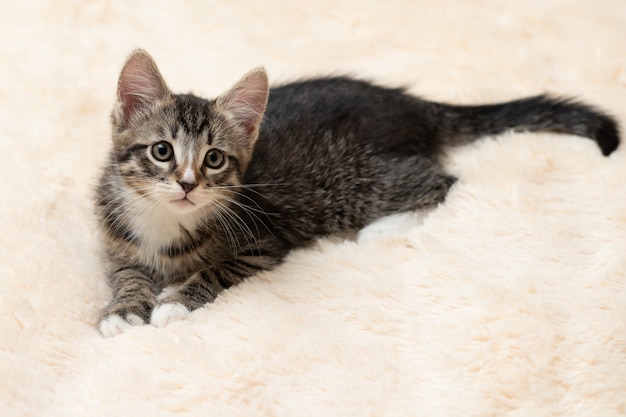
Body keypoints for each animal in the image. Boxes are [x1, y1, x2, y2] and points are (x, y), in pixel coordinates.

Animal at [95, 49, 616, 334]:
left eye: (214, 160)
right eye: (162, 151)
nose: (187, 184)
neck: (167, 220)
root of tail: (412, 106)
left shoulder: (262, 243)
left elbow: (215, 269)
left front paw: (174, 301)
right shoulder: (115, 243)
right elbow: (127, 275)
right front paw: (124, 310)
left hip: (355, 181)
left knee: (442, 180)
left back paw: (383, 229)